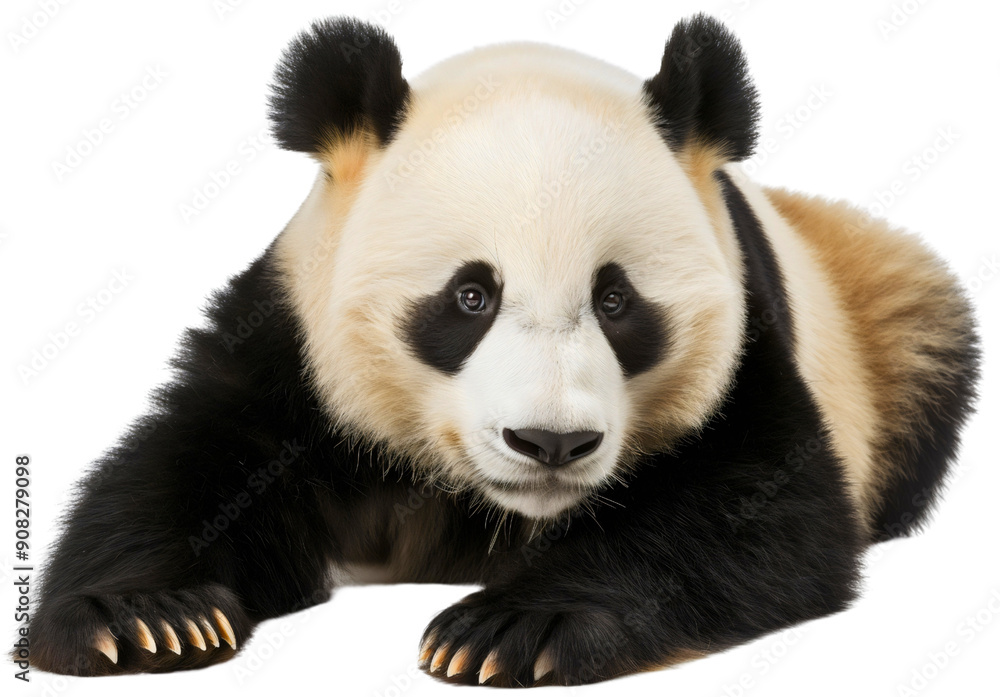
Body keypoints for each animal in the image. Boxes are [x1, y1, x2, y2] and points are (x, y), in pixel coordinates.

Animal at [25, 13, 979, 687]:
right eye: (470, 296)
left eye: (616, 299)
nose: (551, 443)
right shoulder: (293, 340)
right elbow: (188, 463)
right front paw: (146, 616)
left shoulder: (749, 344)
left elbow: (761, 508)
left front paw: (512, 629)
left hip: (878, 313)